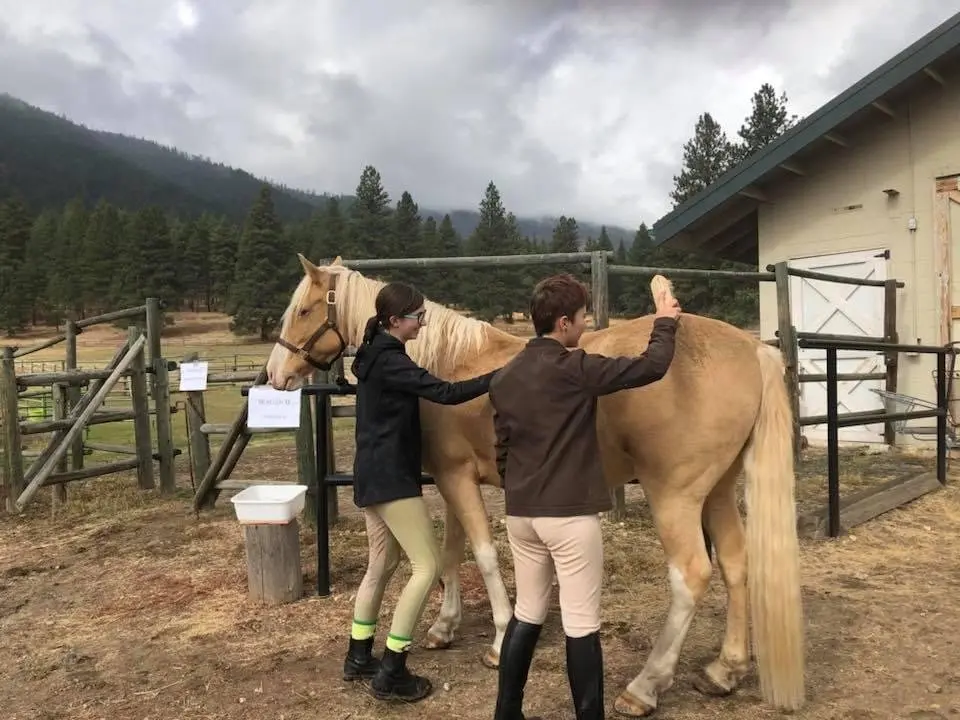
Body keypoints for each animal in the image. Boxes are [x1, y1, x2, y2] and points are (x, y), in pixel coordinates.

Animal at [265, 254, 806, 717]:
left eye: (304, 309)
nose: (274, 374)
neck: (445, 365)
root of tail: (751, 348)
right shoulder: (452, 478)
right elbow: (451, 552)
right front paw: (444, 627)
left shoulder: (457, 477)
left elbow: (483, 553)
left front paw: (501, 638)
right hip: (717, 492)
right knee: (735, 564)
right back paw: (724, 671)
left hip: (674, 496)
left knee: (691, 575)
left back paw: (644, 687)